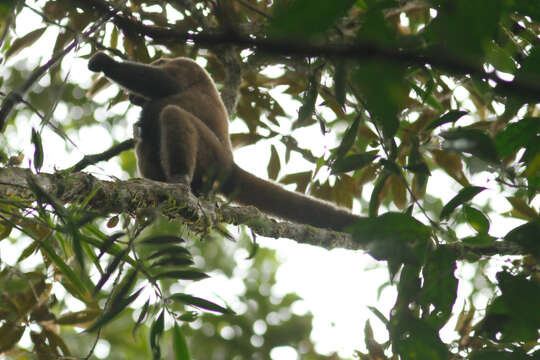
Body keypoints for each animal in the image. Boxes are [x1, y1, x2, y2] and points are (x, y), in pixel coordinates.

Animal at [87, 52, 358, 229]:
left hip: (212, 156)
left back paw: (179, 179)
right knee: (146, 136)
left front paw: (106, 63)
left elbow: (165, 83)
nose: (131, 97)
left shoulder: (185, 66)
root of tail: (231, 165)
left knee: (171, 114)